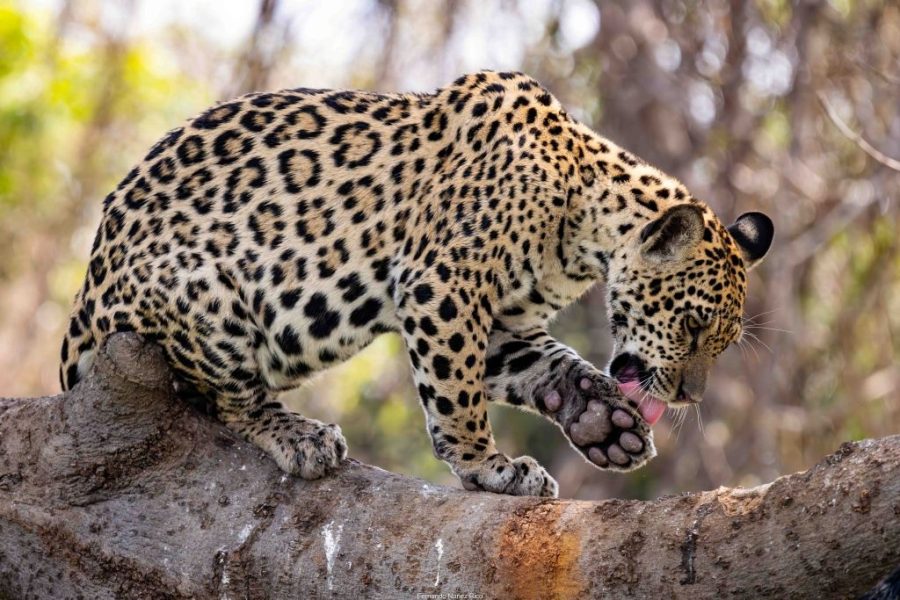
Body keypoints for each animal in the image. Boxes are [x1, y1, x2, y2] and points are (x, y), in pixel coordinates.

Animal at [59, 70, 774, 498]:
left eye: (720, 341)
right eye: (693, 325)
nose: (688, 396)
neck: (580, 225)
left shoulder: (502, 322)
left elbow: (552, 364)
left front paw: (601, 422)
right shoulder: (443, 285)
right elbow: (456, 393)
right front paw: (489, 466)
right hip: (202, 291)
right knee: (229, 399)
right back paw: (302, 436)